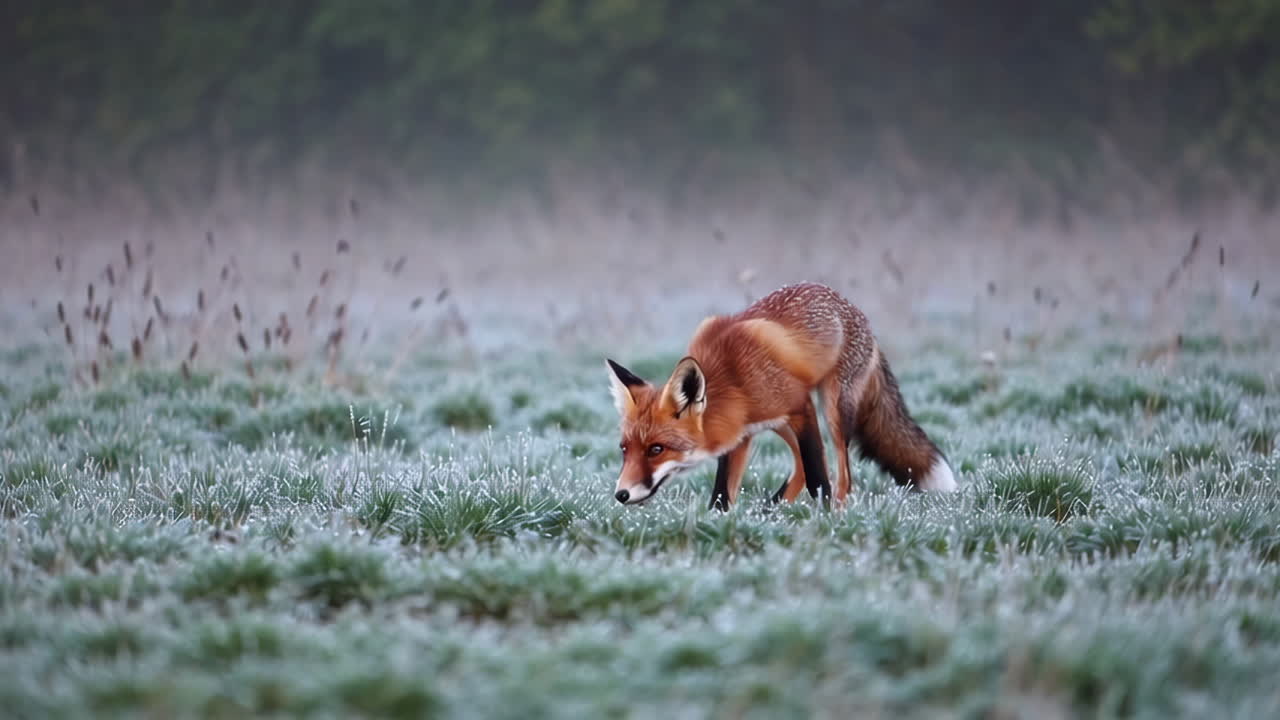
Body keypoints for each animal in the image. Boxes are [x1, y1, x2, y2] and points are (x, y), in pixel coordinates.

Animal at [606, 282, 955, 509]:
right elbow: (721, 493)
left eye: (656, 449)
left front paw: (822, 522)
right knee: (799, 467)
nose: (621, 494)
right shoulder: (741, 435)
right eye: (624, 449)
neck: (733, 382)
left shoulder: (800, 406)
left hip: (831, 410)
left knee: (841, 476)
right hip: (783, 424)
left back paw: (834, 513)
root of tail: (854, 309)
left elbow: (818, 479)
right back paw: (771, 513)